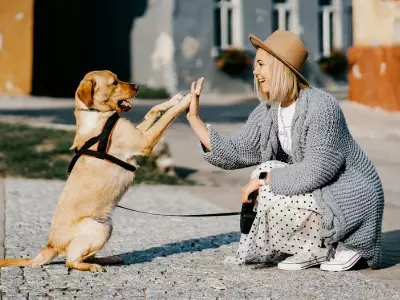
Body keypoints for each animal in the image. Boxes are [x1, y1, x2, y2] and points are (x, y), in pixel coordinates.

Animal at [0, 70, 202, 272]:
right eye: (114, 83)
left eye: (119, 78)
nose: (137, 86)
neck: (96, 114)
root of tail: (51, 245)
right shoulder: (144, 141)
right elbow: (168, 117)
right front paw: (188, 100)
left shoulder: (139, 133)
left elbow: (153, 110)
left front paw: (174, 99)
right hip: (99, 228)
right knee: (70, 261)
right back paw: (93, 266)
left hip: (107, 226)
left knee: (84, 256)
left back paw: (108, 259)